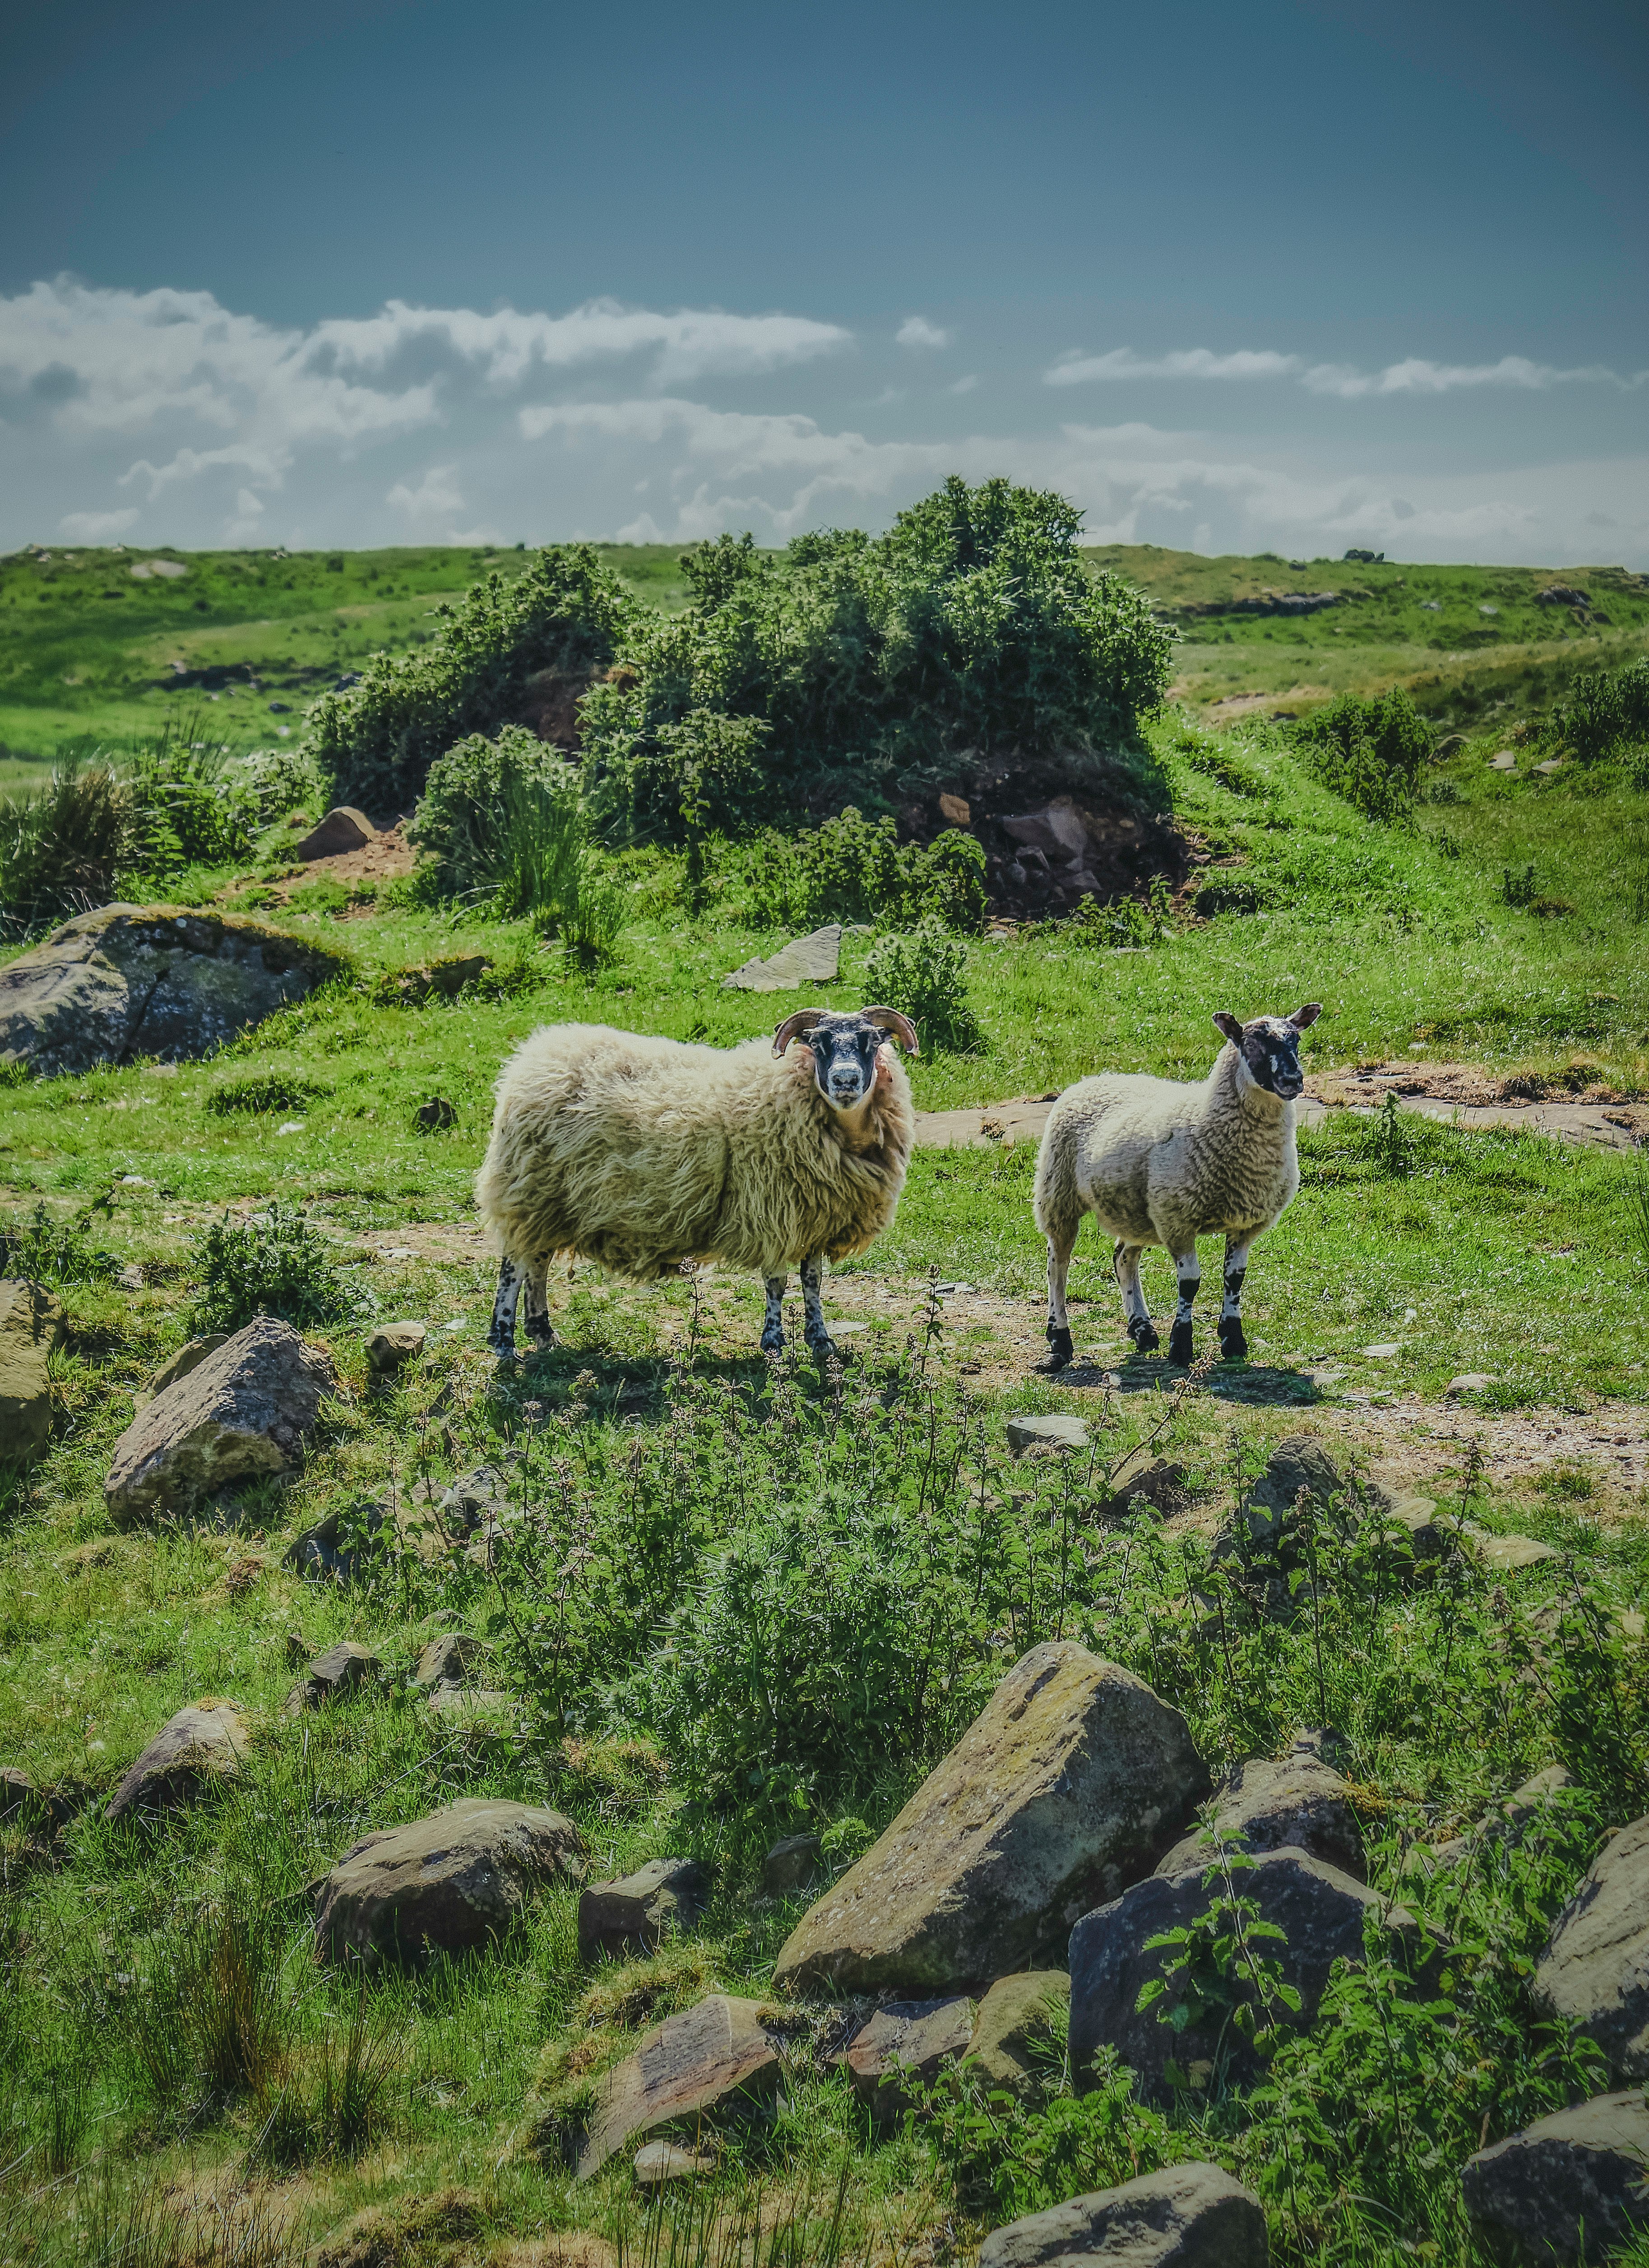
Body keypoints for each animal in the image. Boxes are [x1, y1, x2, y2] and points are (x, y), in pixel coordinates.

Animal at [474, 1007, 930, 1352]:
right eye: (817, 1042)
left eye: (873, 1040)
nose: (845, 1080)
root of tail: (533, 1057)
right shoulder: (772, 1209)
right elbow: (777, 1282)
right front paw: (773, 1341)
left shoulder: (814, 1216)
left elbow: (813, 1282)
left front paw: (820, 1341)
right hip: (529, 1188)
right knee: (513, 1265)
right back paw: (504, 1340)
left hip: (550, 1202)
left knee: (537, 1260)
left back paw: (543, 1334)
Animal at [1034, 1007, 1325, 1361]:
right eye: (1251, 1043)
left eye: (1296, 1040)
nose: (1293, 1080)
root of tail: (1096, 1078)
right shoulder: (1178, 1219)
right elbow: (1190, 1282)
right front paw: (1181, 1345)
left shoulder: (1245, 1223)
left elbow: (1234, 1279)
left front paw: (1233, 1341)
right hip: (1058, 1192)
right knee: (1057, 1264)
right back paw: (1059, 1338)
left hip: (1139, 1212)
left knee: (1124, 1259)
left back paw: (1143, 1331)